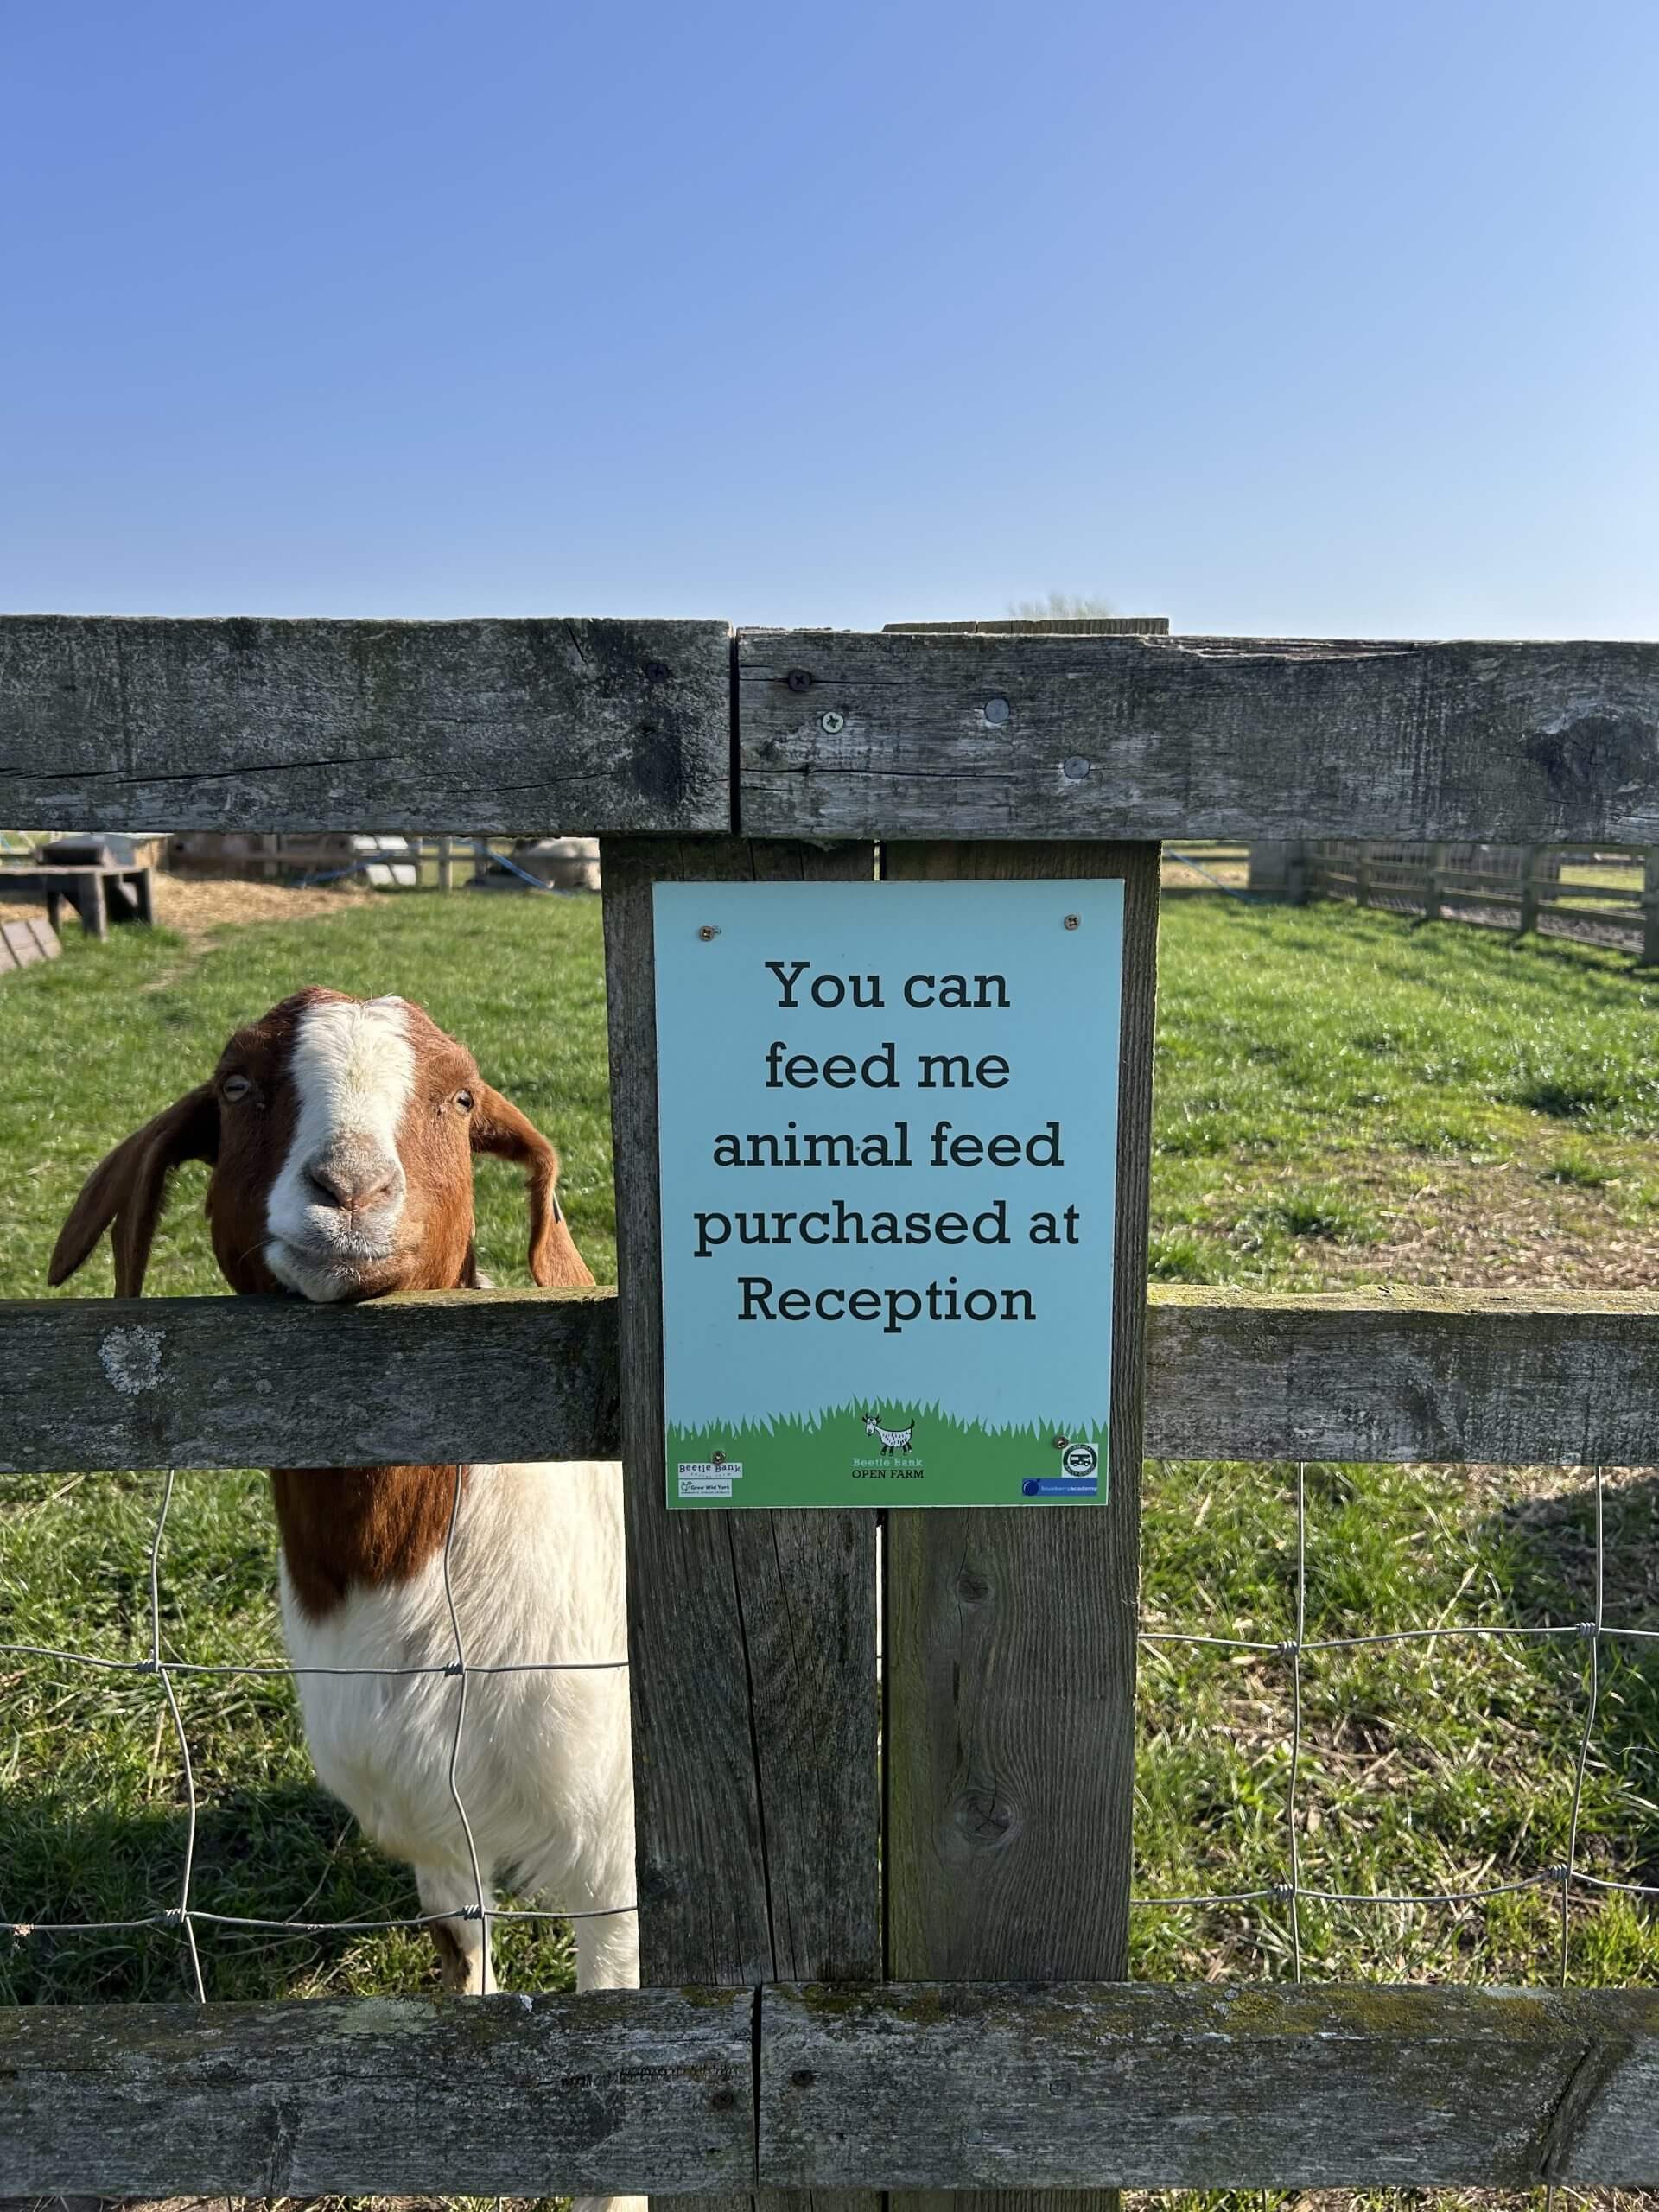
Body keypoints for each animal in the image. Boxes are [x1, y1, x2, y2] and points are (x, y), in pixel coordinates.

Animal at [49, 989, 639, 2025]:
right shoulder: (433, 1817)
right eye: (236, 1087)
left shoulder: (612, 1846)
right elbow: (461, 1949)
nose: (352, 1190)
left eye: (459, 1099)